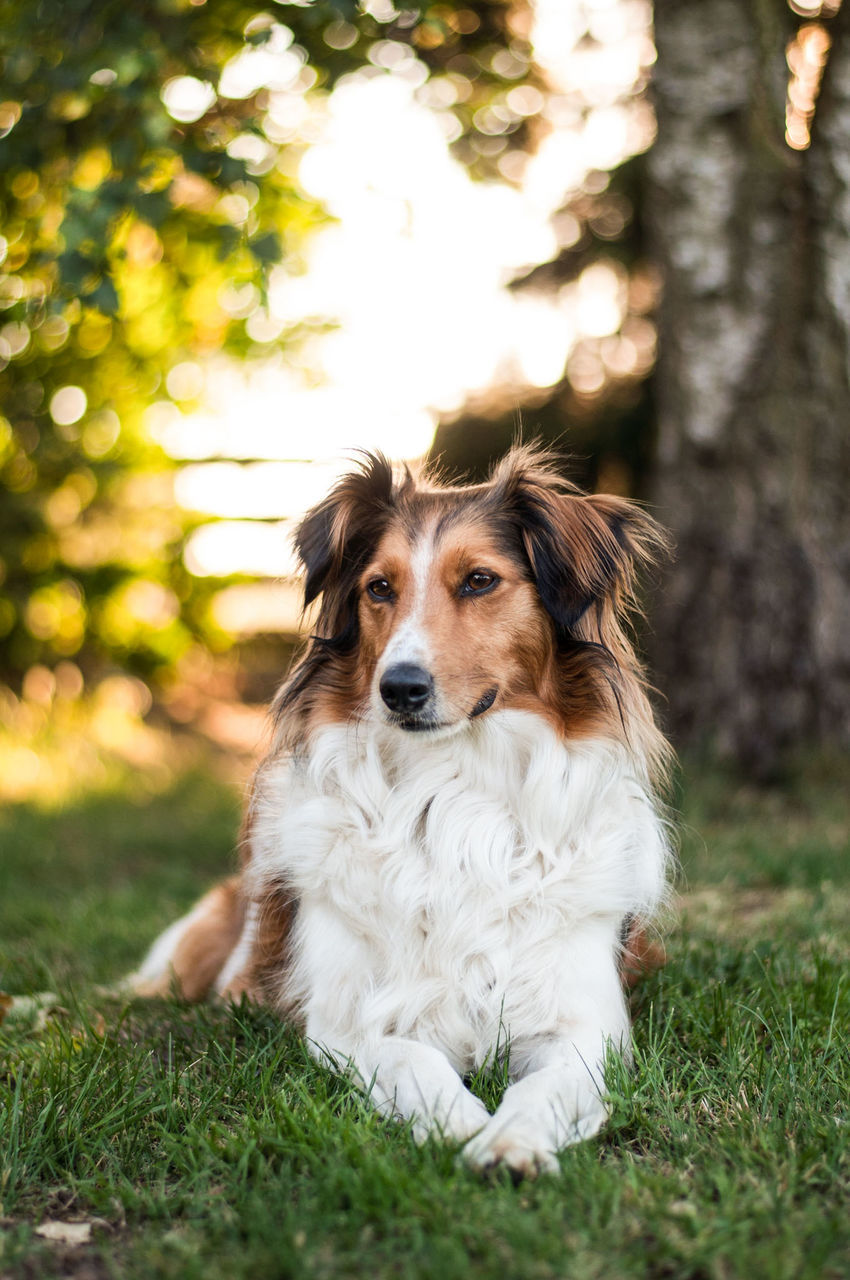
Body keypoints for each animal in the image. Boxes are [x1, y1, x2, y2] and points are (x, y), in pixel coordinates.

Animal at [129, 445, 675, 1172]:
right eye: (379, 588)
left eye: (479, 581)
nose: (399, 689)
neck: (455, 794)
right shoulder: (349, 1023)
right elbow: (416, 1062)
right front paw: (461, 1127)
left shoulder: (584, 1025)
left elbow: (547, 1087)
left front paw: (512, 1141)